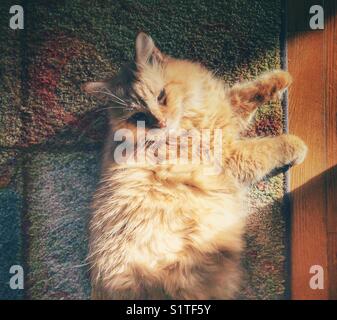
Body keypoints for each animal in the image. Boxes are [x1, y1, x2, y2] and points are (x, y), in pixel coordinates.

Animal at [82, 32, 308, 300]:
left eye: (161, 96)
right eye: (139, 117)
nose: (161, 123)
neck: (188, 121)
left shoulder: (225, 111)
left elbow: (245, 93)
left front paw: (282, 78)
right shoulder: (230, 155)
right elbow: (268, 147)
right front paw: (296, 145)